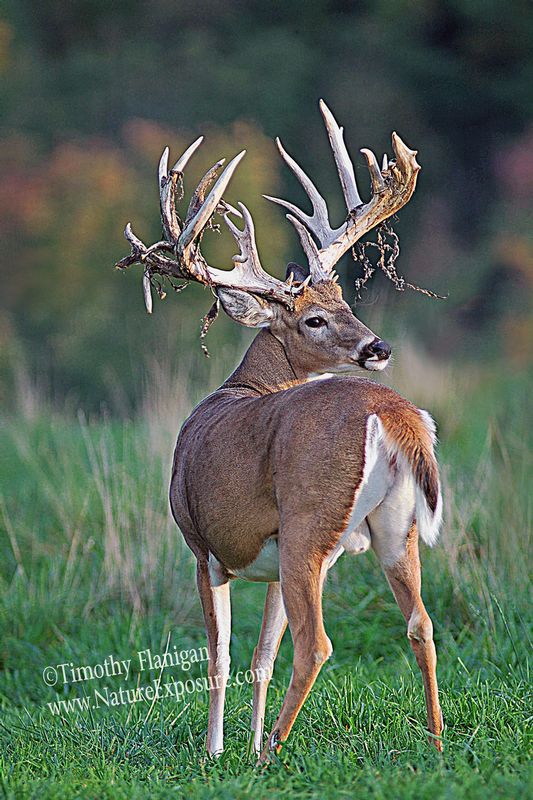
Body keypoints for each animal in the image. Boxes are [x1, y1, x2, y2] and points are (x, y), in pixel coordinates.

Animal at [117, 100, 444, 762]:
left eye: (345, 301)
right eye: (319, 314)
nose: (378, 346)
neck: (242, 387)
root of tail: (395, 416)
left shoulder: (202, 546)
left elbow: (220, 657)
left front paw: (218, 751)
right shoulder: (261, 563)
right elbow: (260, 656)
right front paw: (238, 746)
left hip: (307, 523)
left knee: (316, 644)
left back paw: (273, 750)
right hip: (395, 528)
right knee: (420, 623)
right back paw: (437, 742)